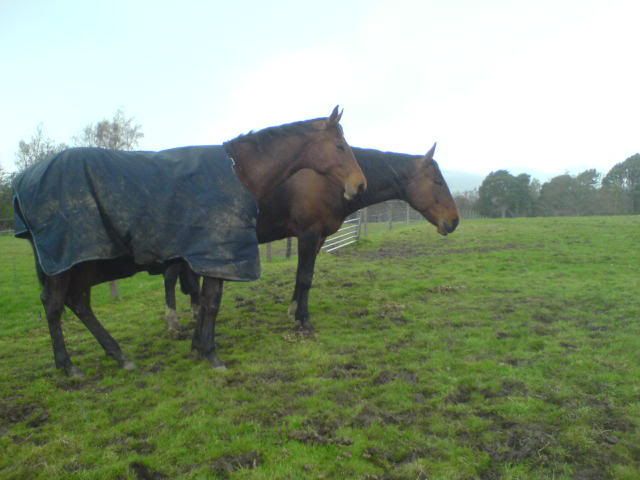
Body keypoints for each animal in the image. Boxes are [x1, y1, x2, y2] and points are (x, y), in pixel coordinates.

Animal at [13, 106, 366, 376]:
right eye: (340, 146)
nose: (359, 184)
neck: (237, 174)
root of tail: (24, 181)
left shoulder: (211, 257)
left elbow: (205, 301)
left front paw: (197, 348)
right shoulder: (217, 254)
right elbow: (210, 302)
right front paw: (210, 354)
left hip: (82, 263)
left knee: (79, 303)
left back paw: (119, 355)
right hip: (64, 263)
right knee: (54, 305)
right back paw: (68, 365)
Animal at [163, 143, 459, 332]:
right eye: (437, 182)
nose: (454, 220)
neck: (331, 179)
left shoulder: (316, 240)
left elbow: (302, 278)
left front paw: (294, 311)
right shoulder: (308, 234)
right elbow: (305, 278)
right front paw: (303, 321)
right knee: (171, 276)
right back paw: (174, 322)